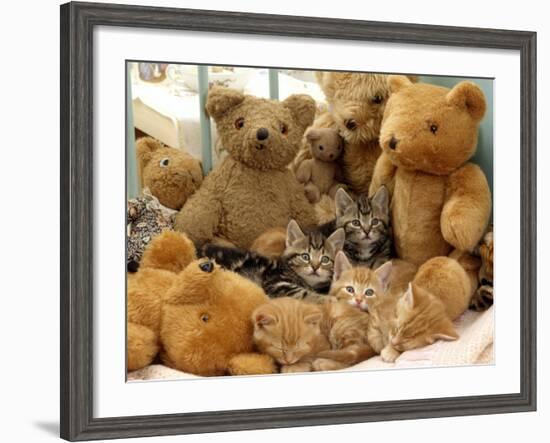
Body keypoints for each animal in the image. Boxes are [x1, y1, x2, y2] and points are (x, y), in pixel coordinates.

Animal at [201, 220, 344, 304]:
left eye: (325, 259)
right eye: (305, 256)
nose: (315, 267)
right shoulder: (277, 283)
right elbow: (304, 293)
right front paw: (331, 299)